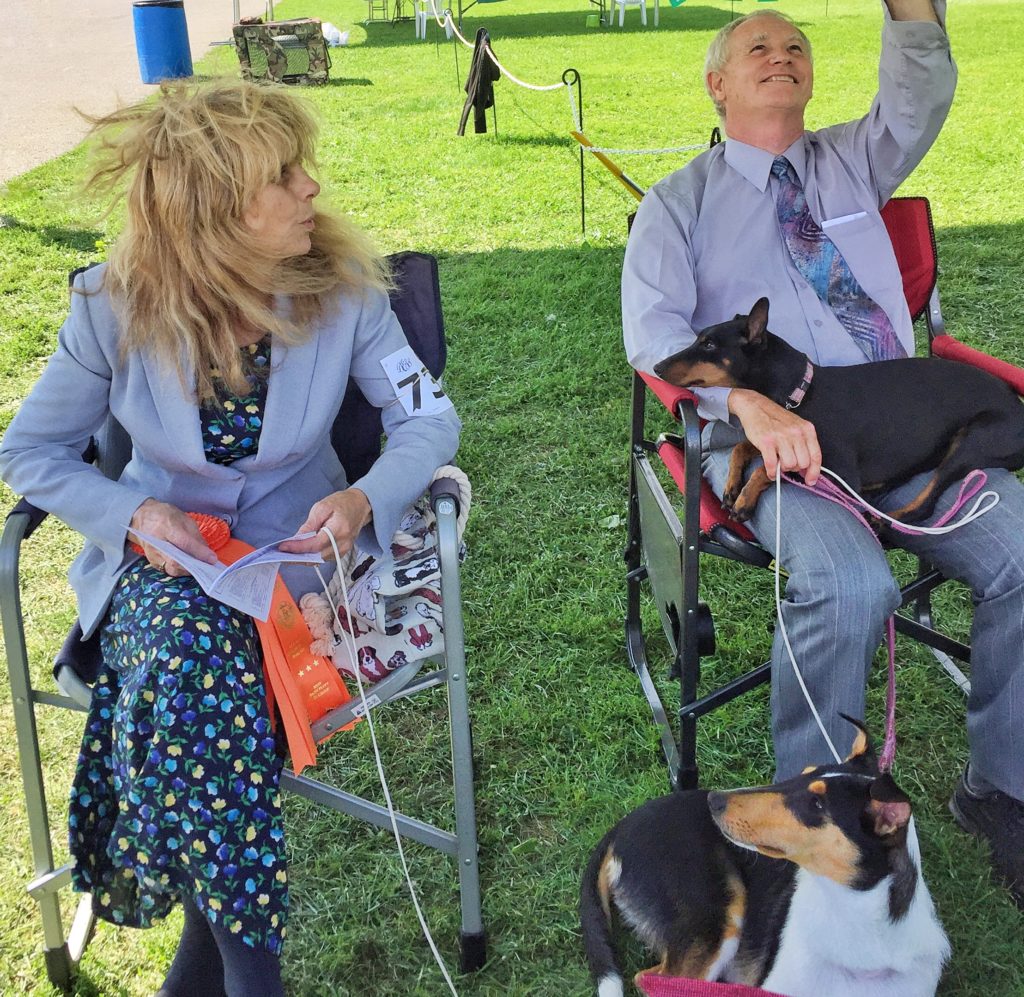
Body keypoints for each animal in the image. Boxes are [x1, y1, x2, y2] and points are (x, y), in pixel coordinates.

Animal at [651, 296, 1024, 528]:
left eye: (709, 344)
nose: (655, 366)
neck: (801, 393)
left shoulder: (836, 471)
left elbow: (775, 469)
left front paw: (745, 498)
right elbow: (745, 446)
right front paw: (732, 485)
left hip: (975, 438)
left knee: (925, 505)